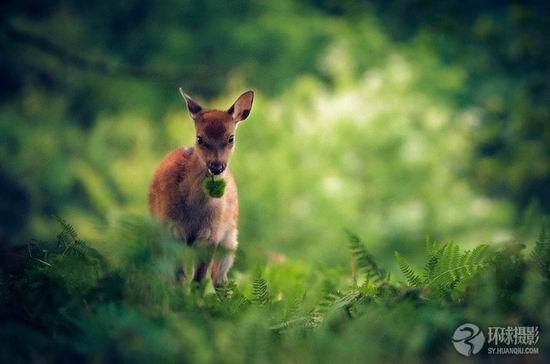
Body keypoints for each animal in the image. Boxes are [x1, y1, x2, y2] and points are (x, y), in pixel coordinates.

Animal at [149, 88, 256, 288]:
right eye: (199, 138)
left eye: (231, 138)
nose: (216, 166)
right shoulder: (172, 229)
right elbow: (180, 277)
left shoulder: (211, 235)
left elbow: (198, 280)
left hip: (229, 241)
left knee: (219, 278)